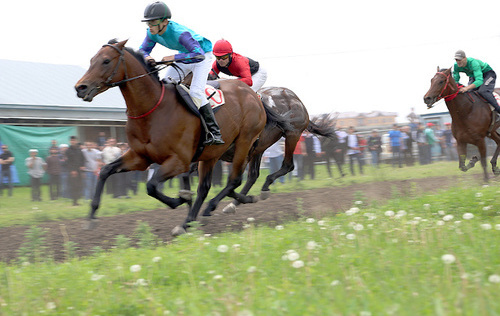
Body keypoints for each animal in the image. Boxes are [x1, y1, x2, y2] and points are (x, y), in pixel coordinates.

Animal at [74, 40, 282, 235]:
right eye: (92, 60)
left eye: (106, 61)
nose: (80, 87)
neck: (152, 110)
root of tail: (254, 96)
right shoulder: (140, 157)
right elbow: (105, 170)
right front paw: (91, 217)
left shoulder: (179, 161)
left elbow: (151, 185)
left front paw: (180, 198)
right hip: (212, 153)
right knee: (206, 186)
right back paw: (193, 219)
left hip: (244, 142)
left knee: (234, 179)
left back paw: (213, 209)